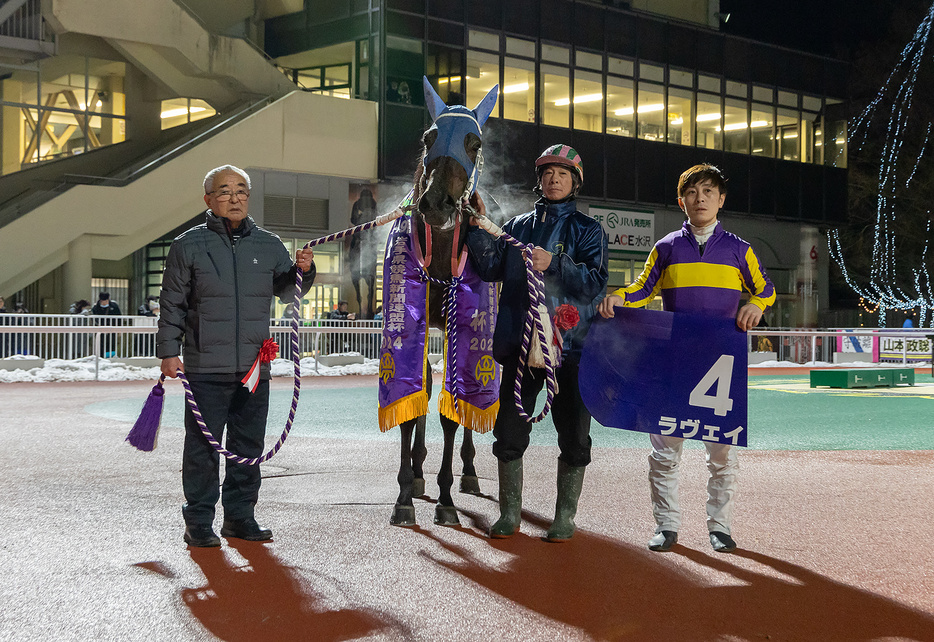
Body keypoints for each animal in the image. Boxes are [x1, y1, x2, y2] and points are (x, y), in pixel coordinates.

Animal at [388, 77, 500, 524]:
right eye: (428, 137)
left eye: (475, 142)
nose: (435, 203)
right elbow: (411, 401)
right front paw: (405, 494)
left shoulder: (461, 324)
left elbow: (451, 414)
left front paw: (448, 498)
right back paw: (418, 472)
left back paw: (467, 470)